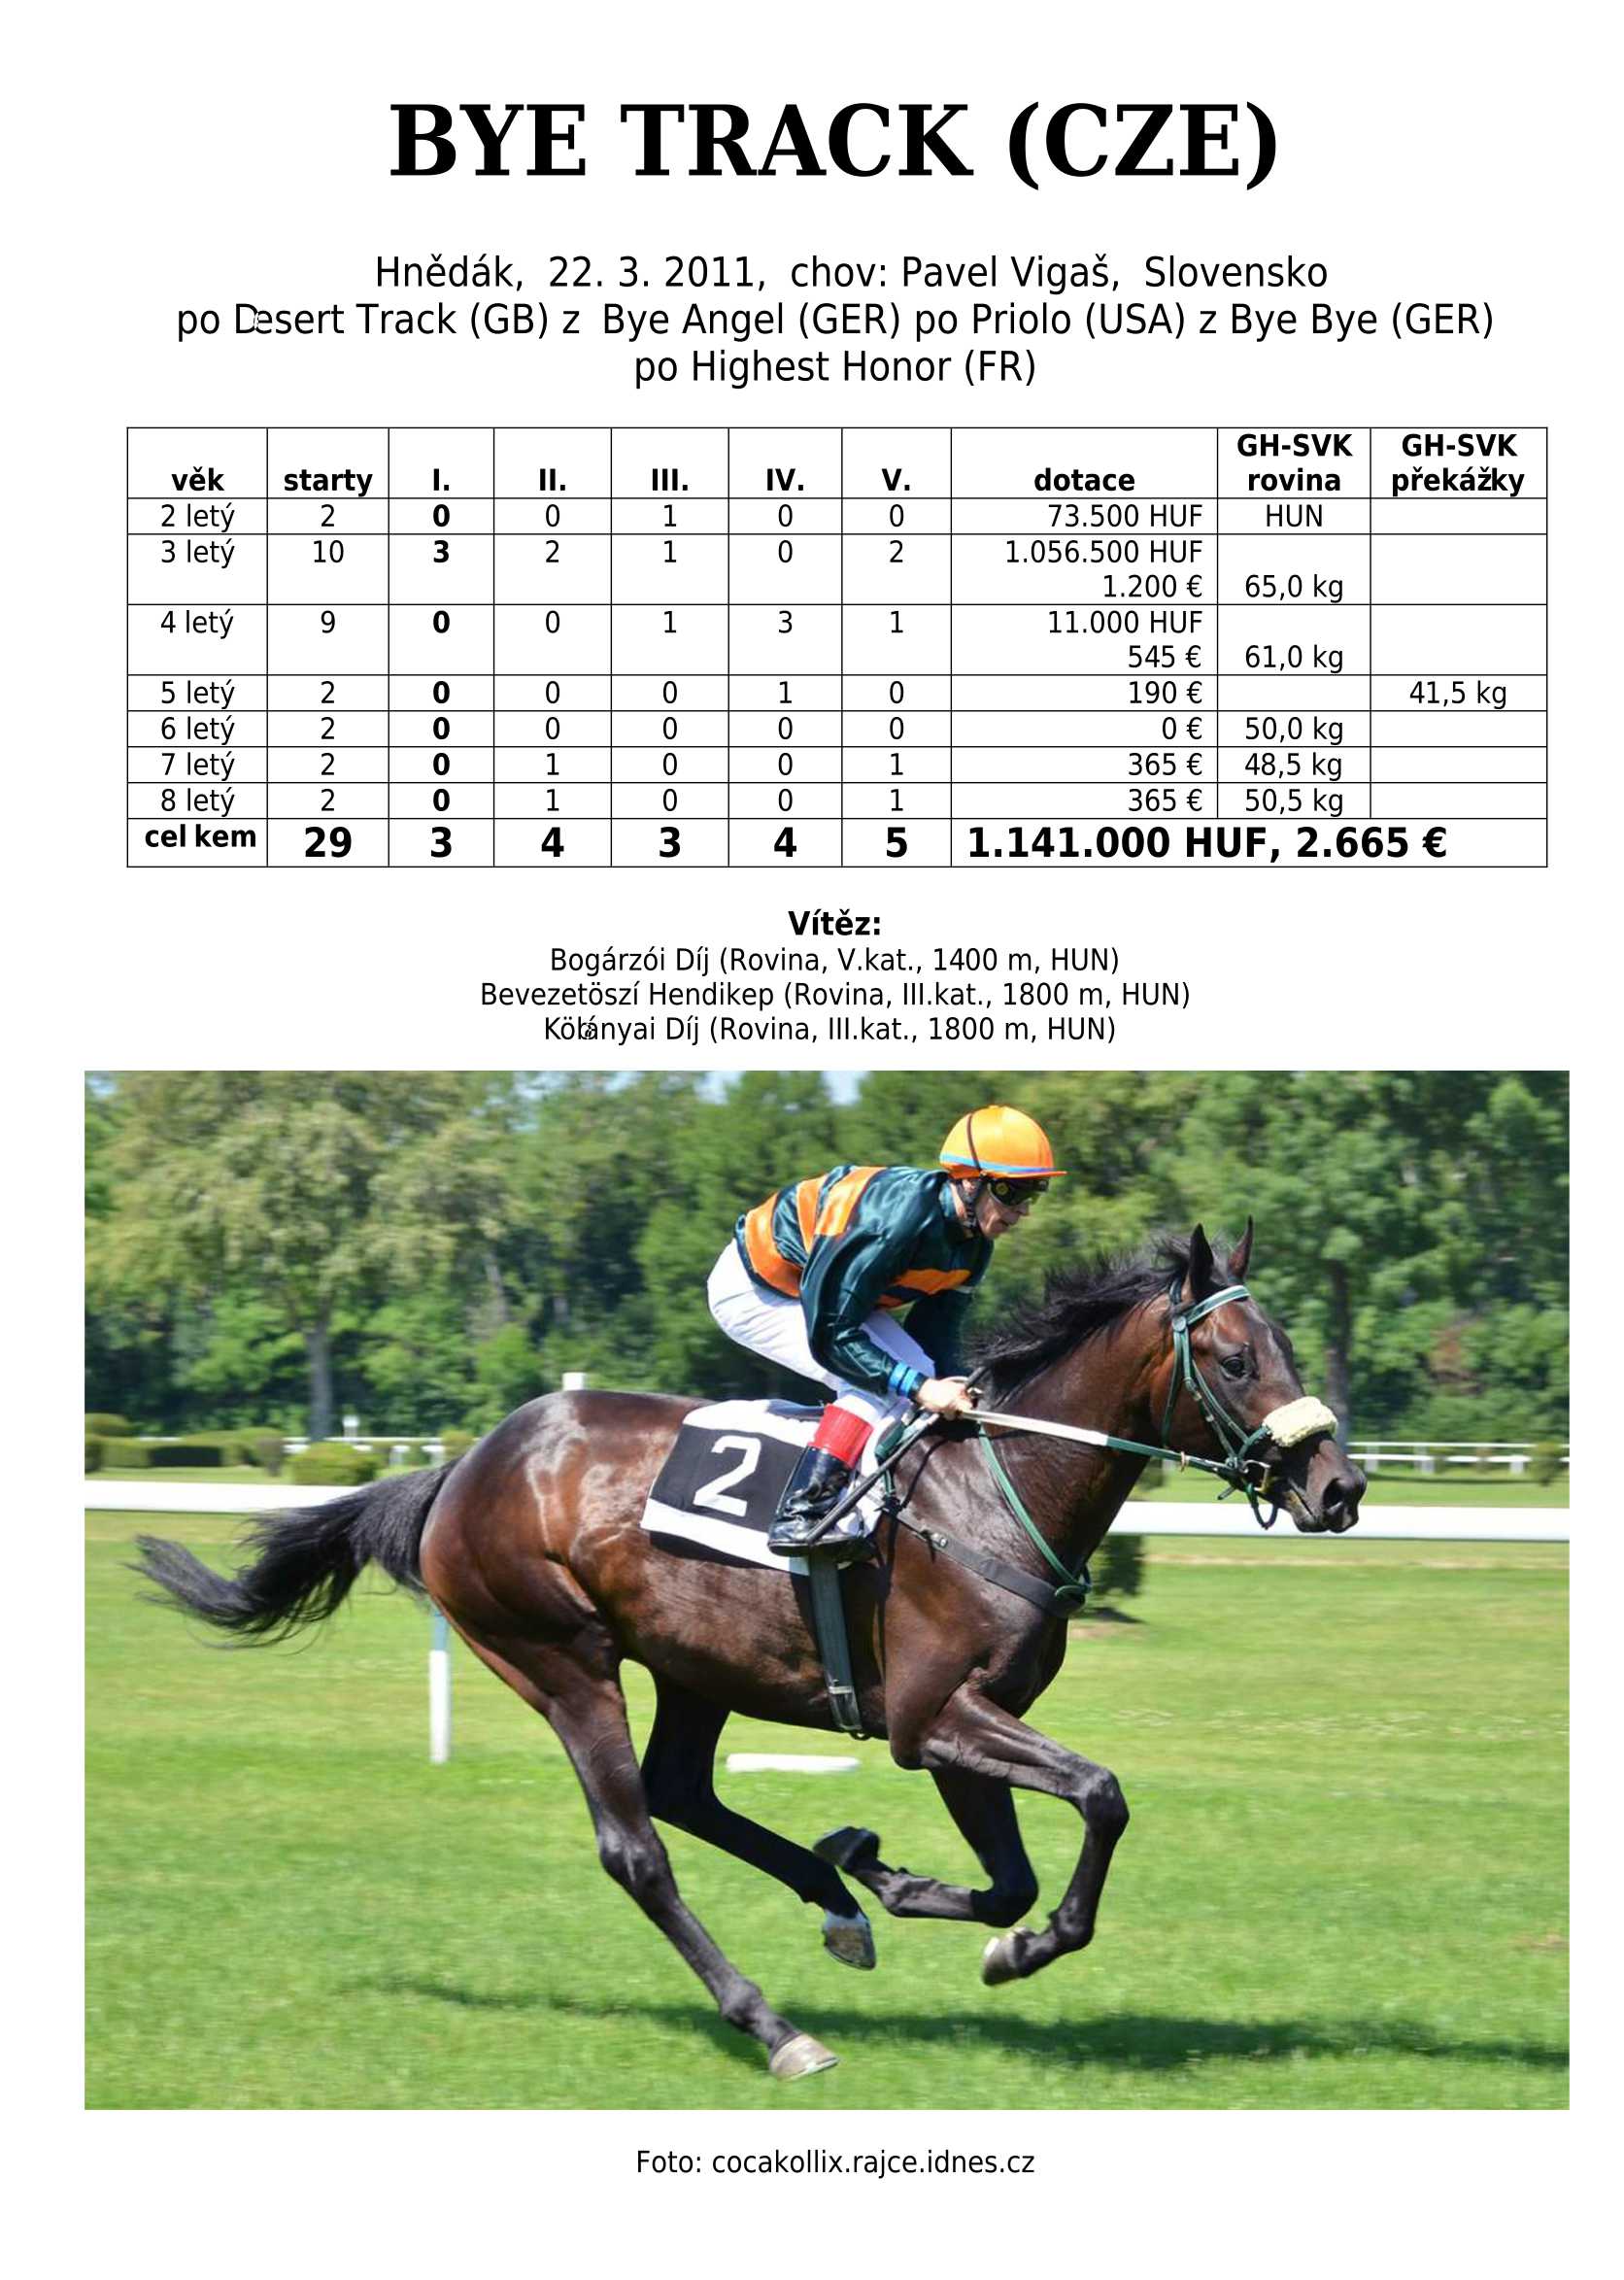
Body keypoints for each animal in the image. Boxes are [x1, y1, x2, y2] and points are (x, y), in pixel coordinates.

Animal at [134, 1222, 1365, 2081]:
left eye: (1285, 1344)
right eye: (1235, 1357)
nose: (1339, 1486)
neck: (992, 1490)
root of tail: (462, 1467)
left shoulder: (964, 1722)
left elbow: (1009, 1877)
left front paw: (896, 1878)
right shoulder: (933, 1716)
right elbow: (1100, 1797)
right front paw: (1004, 1936)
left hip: (694, 1664)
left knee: (682, 1789)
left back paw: (835, 1897)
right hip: (558, 1655)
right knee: (637, 1847)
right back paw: (773, 2025)